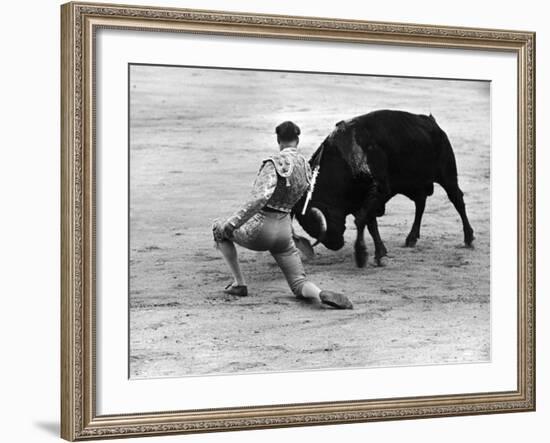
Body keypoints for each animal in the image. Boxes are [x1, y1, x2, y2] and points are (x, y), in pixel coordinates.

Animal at [296, 109, 476, 268]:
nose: (334, 244)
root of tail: (432, 123)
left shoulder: (379, 190)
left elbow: (361, 220)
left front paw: (361, 255)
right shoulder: (364, 199)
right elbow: (370, 224)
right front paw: (379, 253)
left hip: (447, 176)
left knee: (457, 200)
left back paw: (468, 238)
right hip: (414, 184)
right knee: (420, 203)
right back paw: (411, 238)